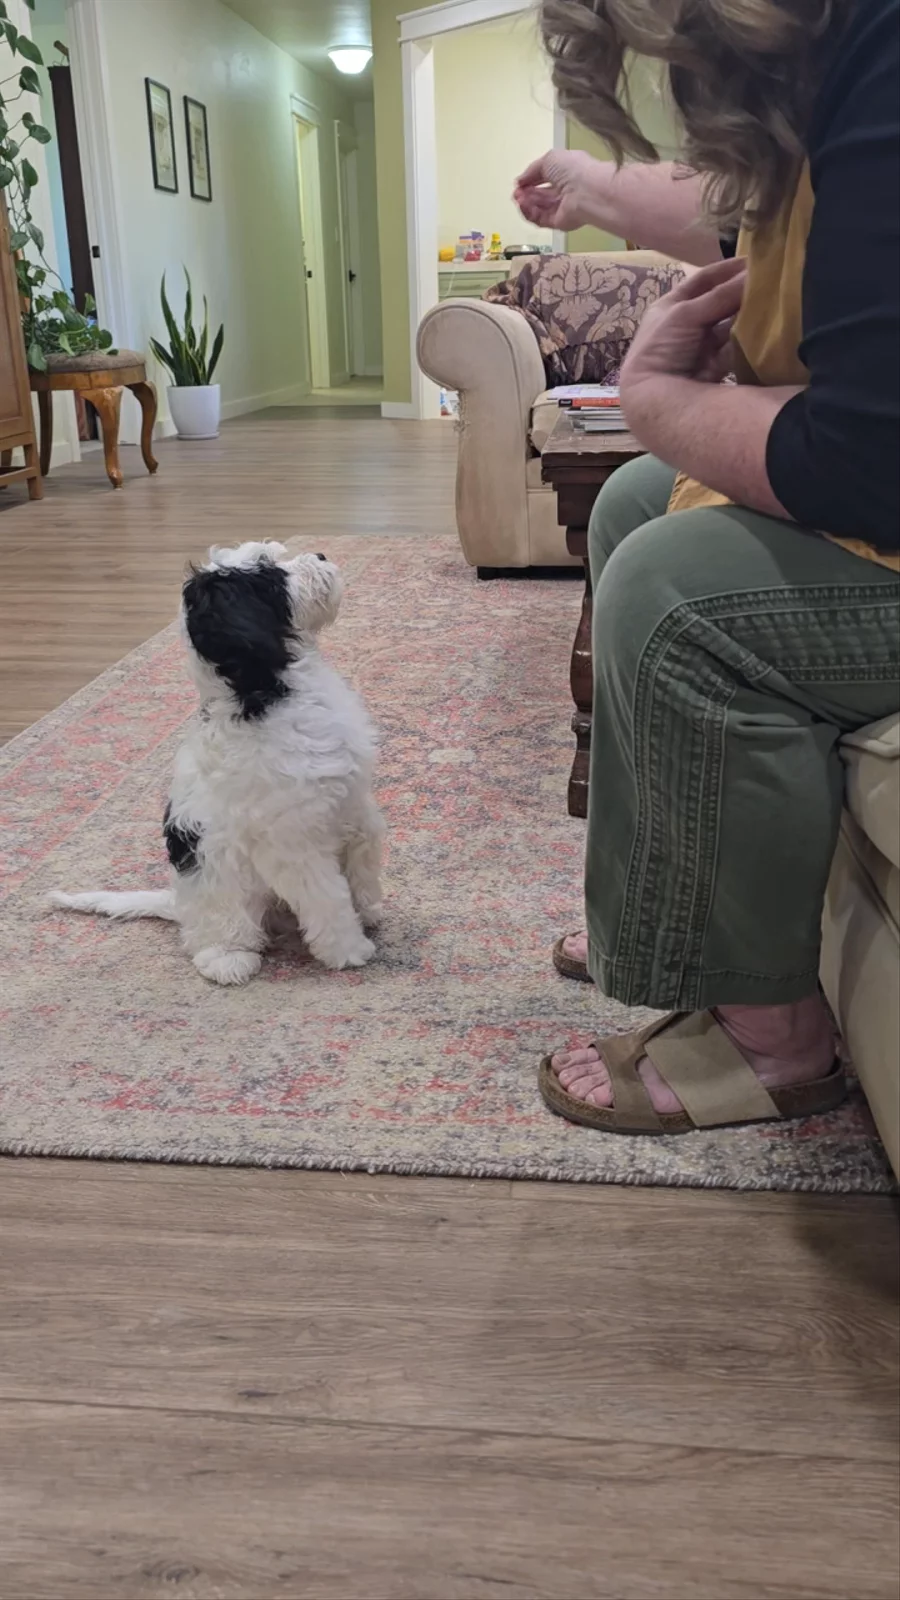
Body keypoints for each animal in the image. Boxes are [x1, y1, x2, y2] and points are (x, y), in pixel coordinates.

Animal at [50, 541, 385, 985]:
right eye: (269, 574)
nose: (321, 555)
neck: (265, 694)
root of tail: (176, 904)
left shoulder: (353, 806)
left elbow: (364, 862)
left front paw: (370, 910)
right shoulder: (296, 843)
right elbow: (328, 897)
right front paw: (349, 950)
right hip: (221, 894)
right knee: (214, 939)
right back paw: (229, 960)